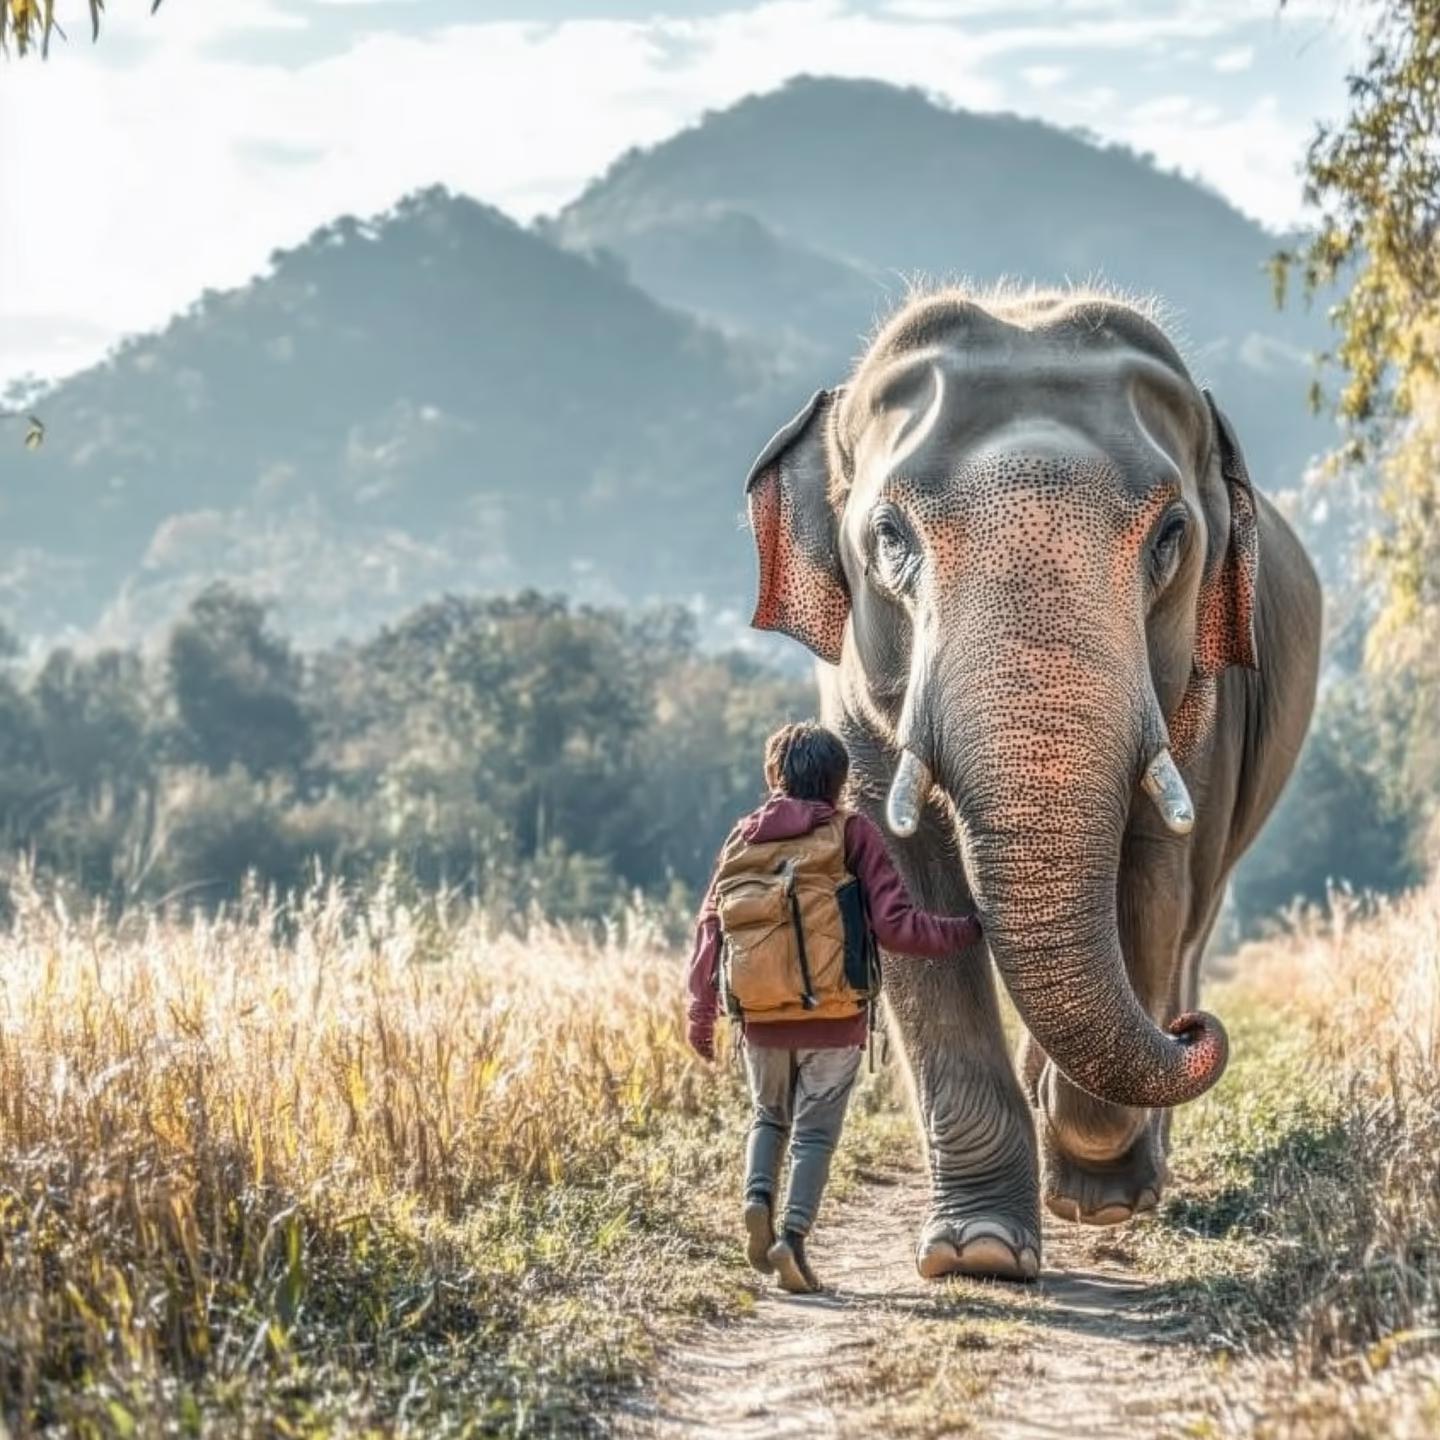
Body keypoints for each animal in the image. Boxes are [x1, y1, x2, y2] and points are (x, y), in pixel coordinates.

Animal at [741, 286, 1321, 1282]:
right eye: (888, 536)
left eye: (1172, 536)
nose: (1195, 1029)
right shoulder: (855, 701)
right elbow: (903, 894)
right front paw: (977, 1252)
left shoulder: (1207, 704)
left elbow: (1153, 887)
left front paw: (1096, 1188)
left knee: (1192, 914)